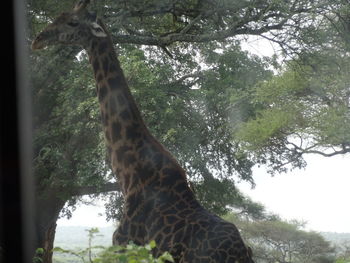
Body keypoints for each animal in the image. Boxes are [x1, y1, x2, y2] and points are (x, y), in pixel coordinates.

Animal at [32, 1, 254, 262]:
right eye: (60, 15)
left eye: (73, 22)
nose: (38, 39)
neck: (128, 172)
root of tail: (241, 251)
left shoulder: (124, 244)